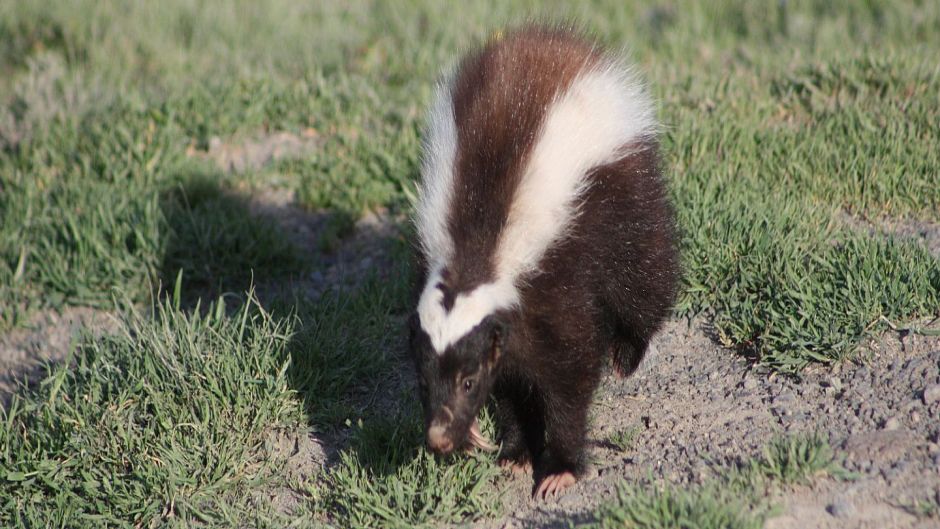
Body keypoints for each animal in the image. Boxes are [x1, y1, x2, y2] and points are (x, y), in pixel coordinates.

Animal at [408, 26, 680, 500]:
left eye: (468, 381)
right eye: (425, 382)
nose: (440, 438)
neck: (478, 257)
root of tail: (552, 44)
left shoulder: (554, 287)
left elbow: (569, 381)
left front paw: (560, 468)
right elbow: (513, 386)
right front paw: (513, 452)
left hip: (627, 191)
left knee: (646, 275)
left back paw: (628, 354)